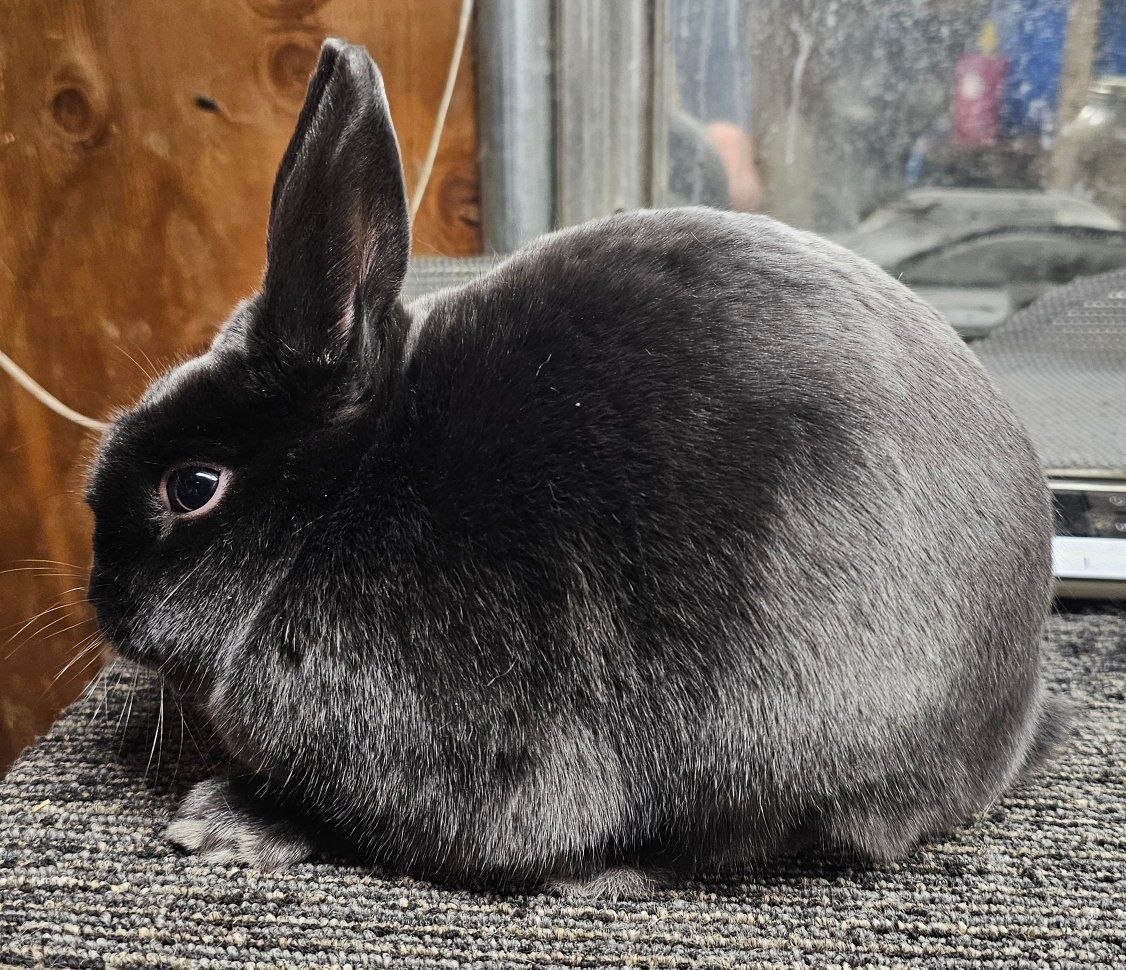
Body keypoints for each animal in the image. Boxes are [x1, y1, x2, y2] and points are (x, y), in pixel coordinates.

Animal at [85, 39, 1063, 895]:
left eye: (192, 487)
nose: (103, 600)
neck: (344, 495)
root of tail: (1010, 716)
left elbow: (369, 824)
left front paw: (224, 821)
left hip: (773, 737)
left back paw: (595, 875)